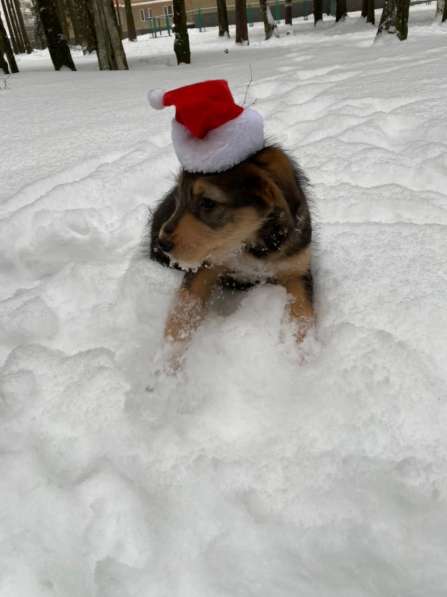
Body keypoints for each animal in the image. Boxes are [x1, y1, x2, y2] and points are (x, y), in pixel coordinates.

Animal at [148, 144, 316, 354]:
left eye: (208, 202)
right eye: (180, 196)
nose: (162, 243)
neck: (247, 245)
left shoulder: (297, 270)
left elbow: (303, 315)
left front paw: (300, 354)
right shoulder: (204, 267)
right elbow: (182, 314)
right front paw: (169, 358)